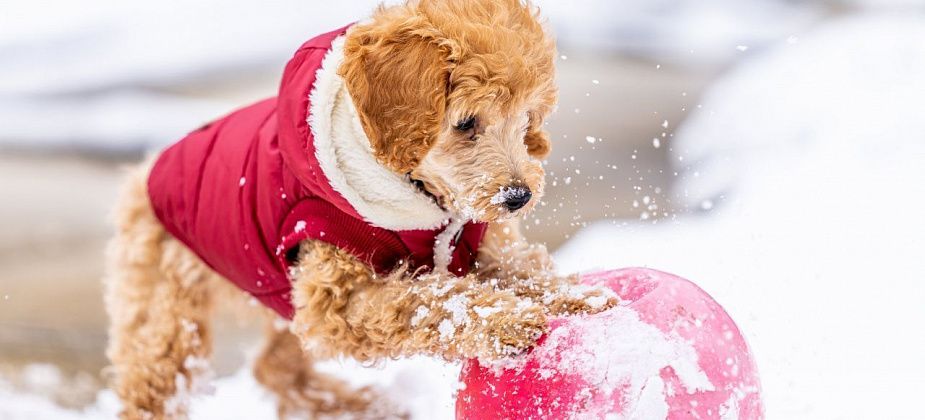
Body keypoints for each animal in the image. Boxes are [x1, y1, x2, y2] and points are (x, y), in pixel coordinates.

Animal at [106, 1, 612, 418]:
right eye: (466, 123)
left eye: (527, 121)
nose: (517, 196)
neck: (423, 194)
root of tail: (148, 170)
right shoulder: (339, 295)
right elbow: (427, 300)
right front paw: (504, 319)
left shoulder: (483, 245)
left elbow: (525, 270)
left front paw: (578, 296)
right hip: (167, 309)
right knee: (153, 384)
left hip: (281, 297)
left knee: (275, 366)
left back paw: (361, 406)